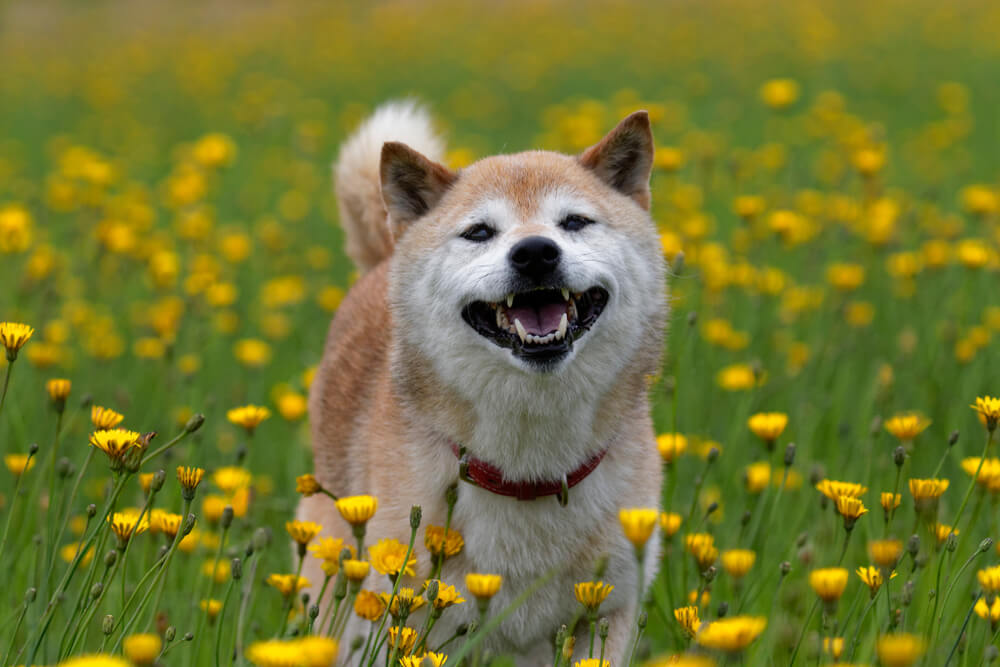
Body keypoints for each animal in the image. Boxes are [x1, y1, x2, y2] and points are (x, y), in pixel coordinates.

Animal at [298, 102, 672, 664]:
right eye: (478, 232)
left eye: (575, 222)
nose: (536, 252)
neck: (527, 472)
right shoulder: (405, 619)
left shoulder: (605, 614)